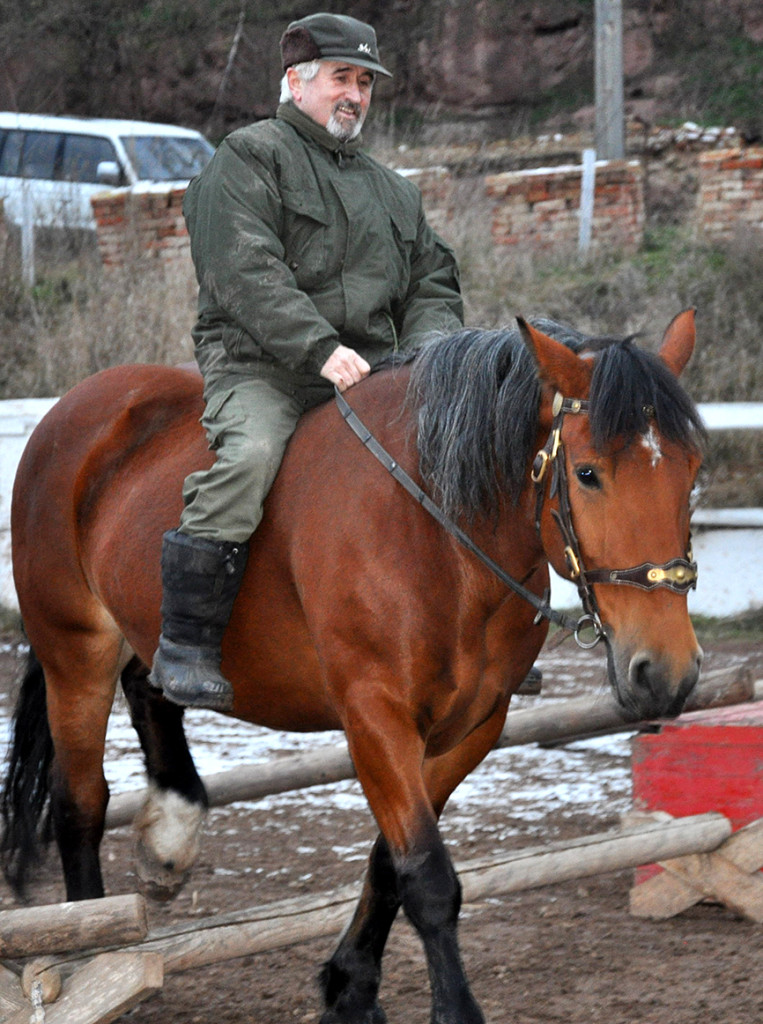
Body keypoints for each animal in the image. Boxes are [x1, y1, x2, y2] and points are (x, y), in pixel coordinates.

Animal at [1, 313, 700, 1024]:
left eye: (691, 473)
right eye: (587, 473)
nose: (665, 672)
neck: (440, 539)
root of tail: (77, 408)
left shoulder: (472, 726)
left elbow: (390, 864)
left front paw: (350, 987)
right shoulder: (375, 718)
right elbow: (429, 878)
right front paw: (449, 1009)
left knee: (152, 686)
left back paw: (169, 834)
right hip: (75, 651)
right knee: (79, 801)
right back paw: (88, 951)